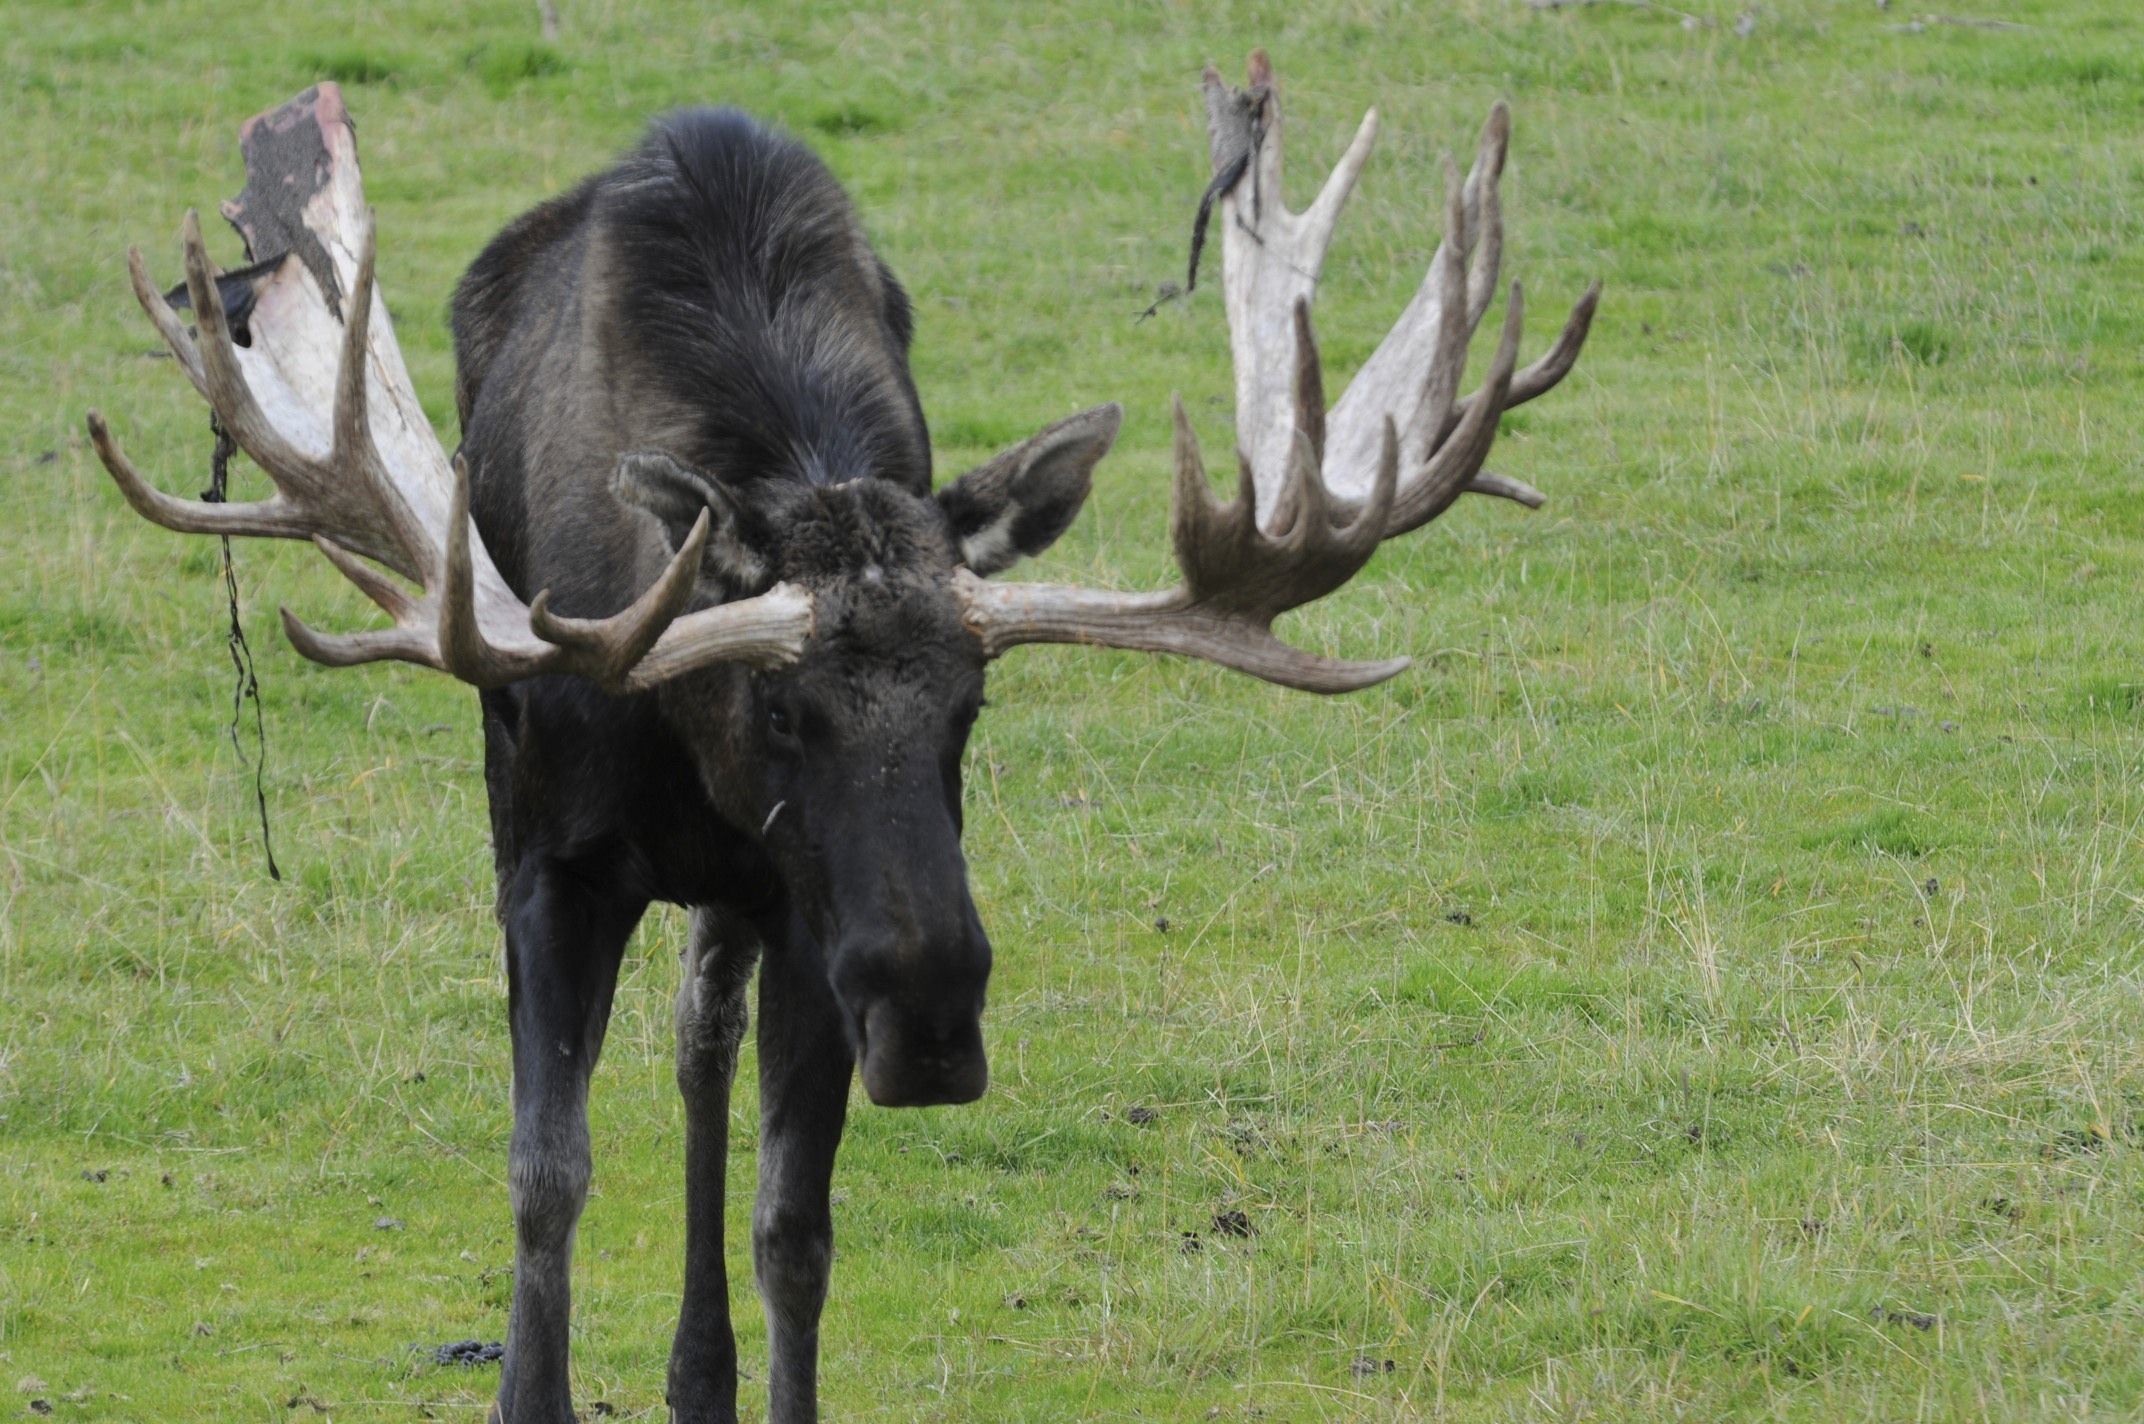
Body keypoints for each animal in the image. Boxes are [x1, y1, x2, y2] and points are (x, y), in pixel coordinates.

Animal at [83, 50, 1595, 1423]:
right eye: (776, 704)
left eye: (974, 704)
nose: (931, 1018)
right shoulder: (549, 858)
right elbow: (546, 1175)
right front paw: (531, 1382)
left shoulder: (805, 905)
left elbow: (791, 1223)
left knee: (702, 1042)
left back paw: (700, 1374)